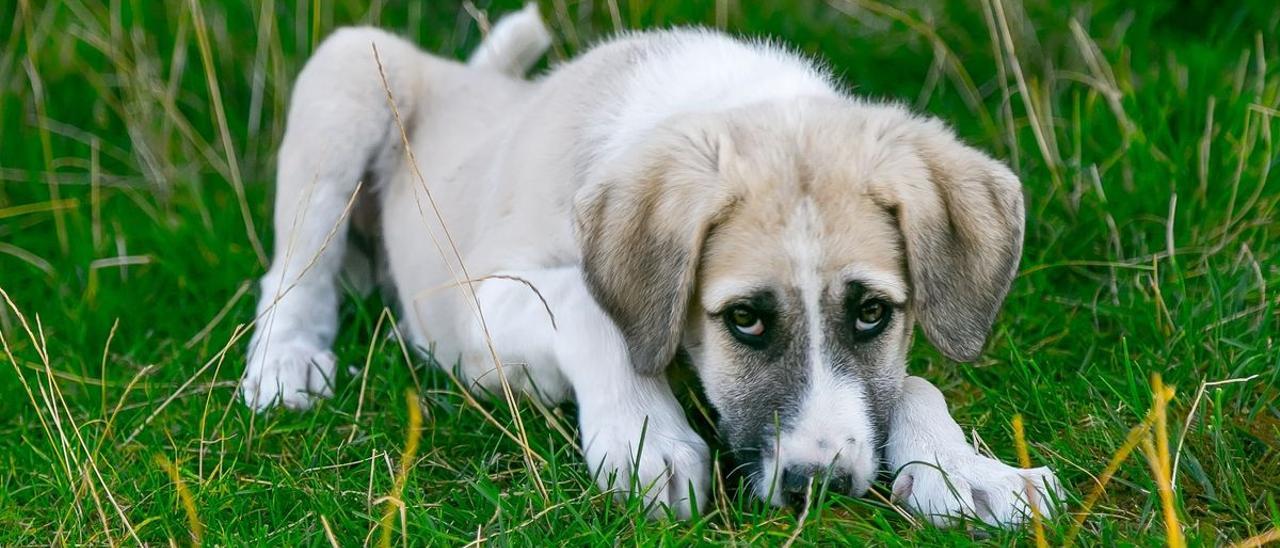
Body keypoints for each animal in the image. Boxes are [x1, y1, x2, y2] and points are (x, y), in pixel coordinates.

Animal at [240, 3, 1059, 527]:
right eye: (744, 319)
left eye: (872, 313)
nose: (818, 488)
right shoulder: (480, 304)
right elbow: (587, 307)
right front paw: (646, 440)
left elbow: (912, 382)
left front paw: (968, 471)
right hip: (347, 74)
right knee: (292, 269)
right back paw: (286, 364)